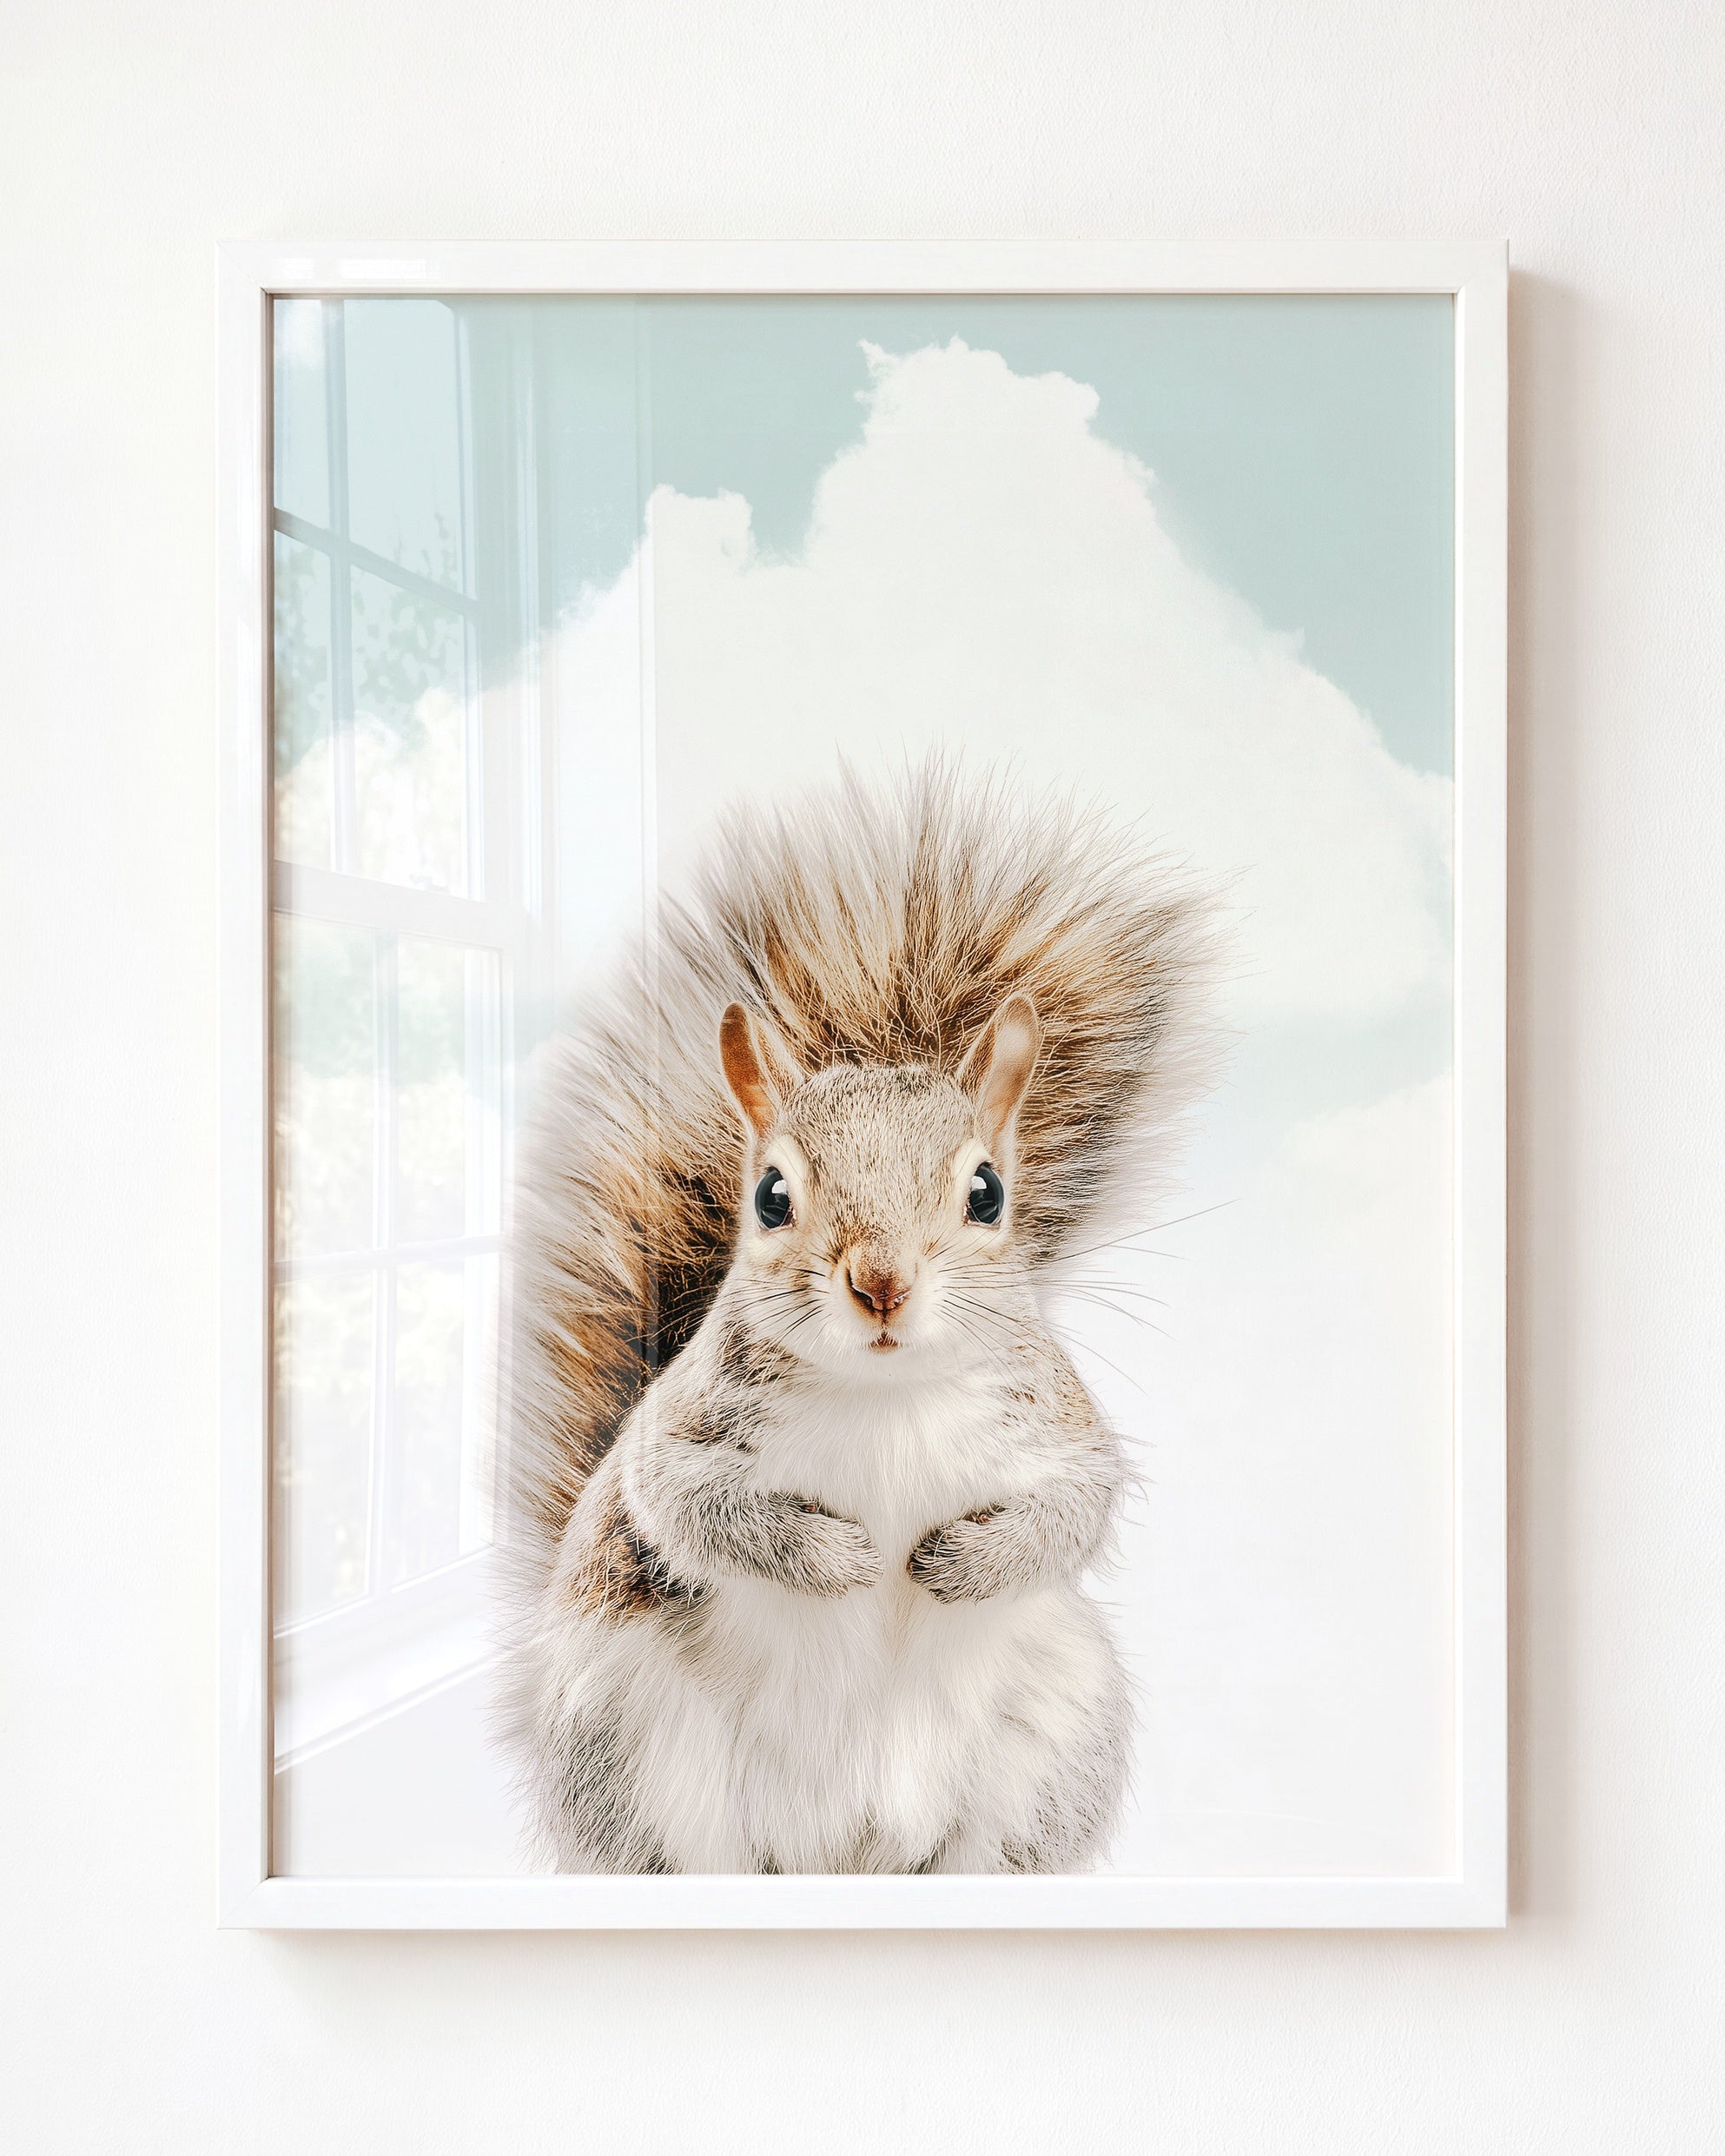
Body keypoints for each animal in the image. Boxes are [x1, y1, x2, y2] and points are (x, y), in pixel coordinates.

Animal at [495, 761, 1217, 1874]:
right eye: (770, 1198)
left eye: (987, 1194)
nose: (881, 1283)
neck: (886, 1394)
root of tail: (845, 1851)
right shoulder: (675, 1438)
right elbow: (692, 1507)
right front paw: (837, 1558)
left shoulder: (1059, 1427)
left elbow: (1075, 1507)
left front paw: (960, 1563)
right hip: (631, 1747)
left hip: (1051, 1741)